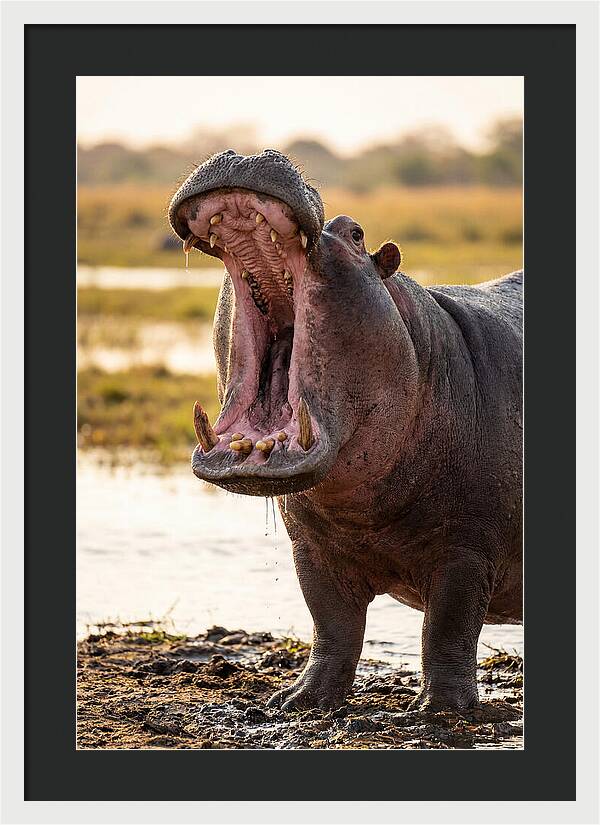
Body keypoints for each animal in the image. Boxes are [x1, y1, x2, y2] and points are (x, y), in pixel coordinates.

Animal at [168, 149, 523, 712]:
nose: (248, 153)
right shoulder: (311, 548)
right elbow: (332, 622)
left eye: (356, 234)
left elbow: (449, 627)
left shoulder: (468, 549)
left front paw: (442, 711)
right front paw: (299, 700)